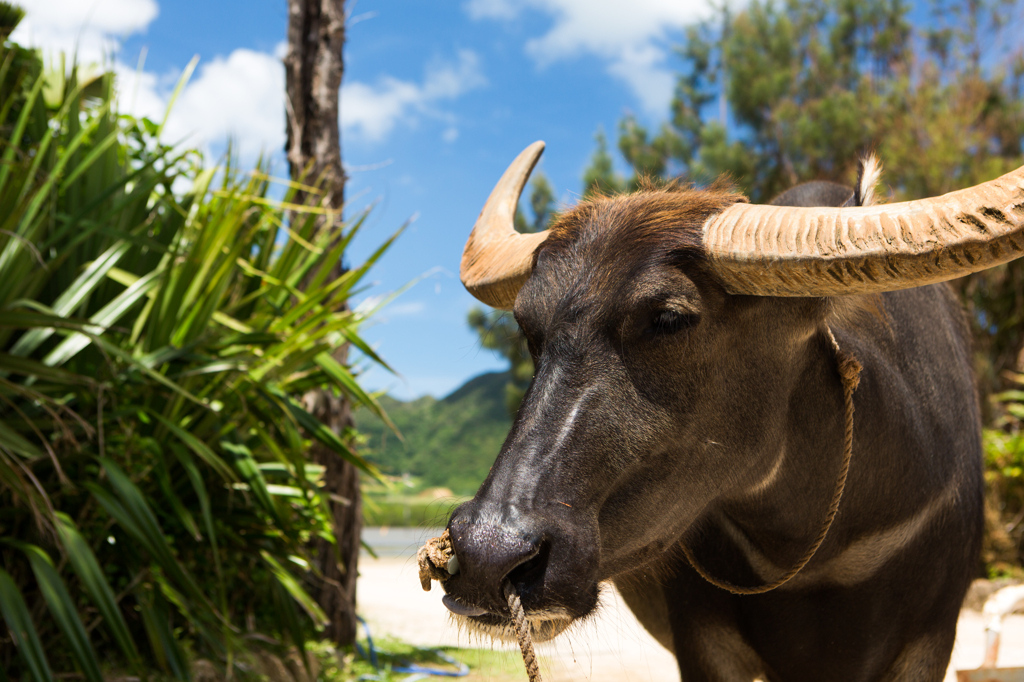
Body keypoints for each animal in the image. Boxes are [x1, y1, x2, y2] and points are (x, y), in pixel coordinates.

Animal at [436, 140, 1019, 675]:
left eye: (670, 317)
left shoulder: (930, 642)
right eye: (528, 325)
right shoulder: (704, 641)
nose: (487, 553)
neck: (825, 550)